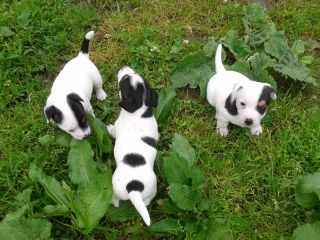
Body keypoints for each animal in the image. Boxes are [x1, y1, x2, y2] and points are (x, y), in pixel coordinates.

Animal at [107, 66, 159, 226]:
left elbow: (112, 131)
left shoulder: (117, 127)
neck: (139, 109)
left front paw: (108, 128)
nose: (124, 67)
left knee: (115, 201)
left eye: (125, 79)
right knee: (146, 202)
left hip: (116, 190)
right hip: (151, 191)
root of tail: (134, 187)